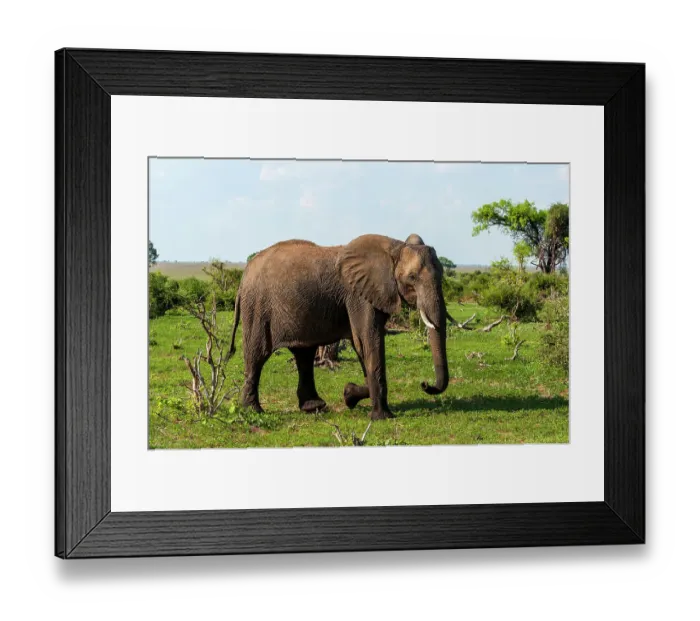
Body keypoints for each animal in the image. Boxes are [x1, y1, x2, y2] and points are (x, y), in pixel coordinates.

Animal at [227, 233, 450, 421]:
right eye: (412, 278)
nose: (425, 384)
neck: (394, 249)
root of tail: (243, 277)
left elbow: (362, 347)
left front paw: (349, 395)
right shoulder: (358, 296)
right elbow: (368, 341)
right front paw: (382, 417)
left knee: (304, 355)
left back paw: (314, 407)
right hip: (257, 307)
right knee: (257, 355)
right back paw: (253, 411)